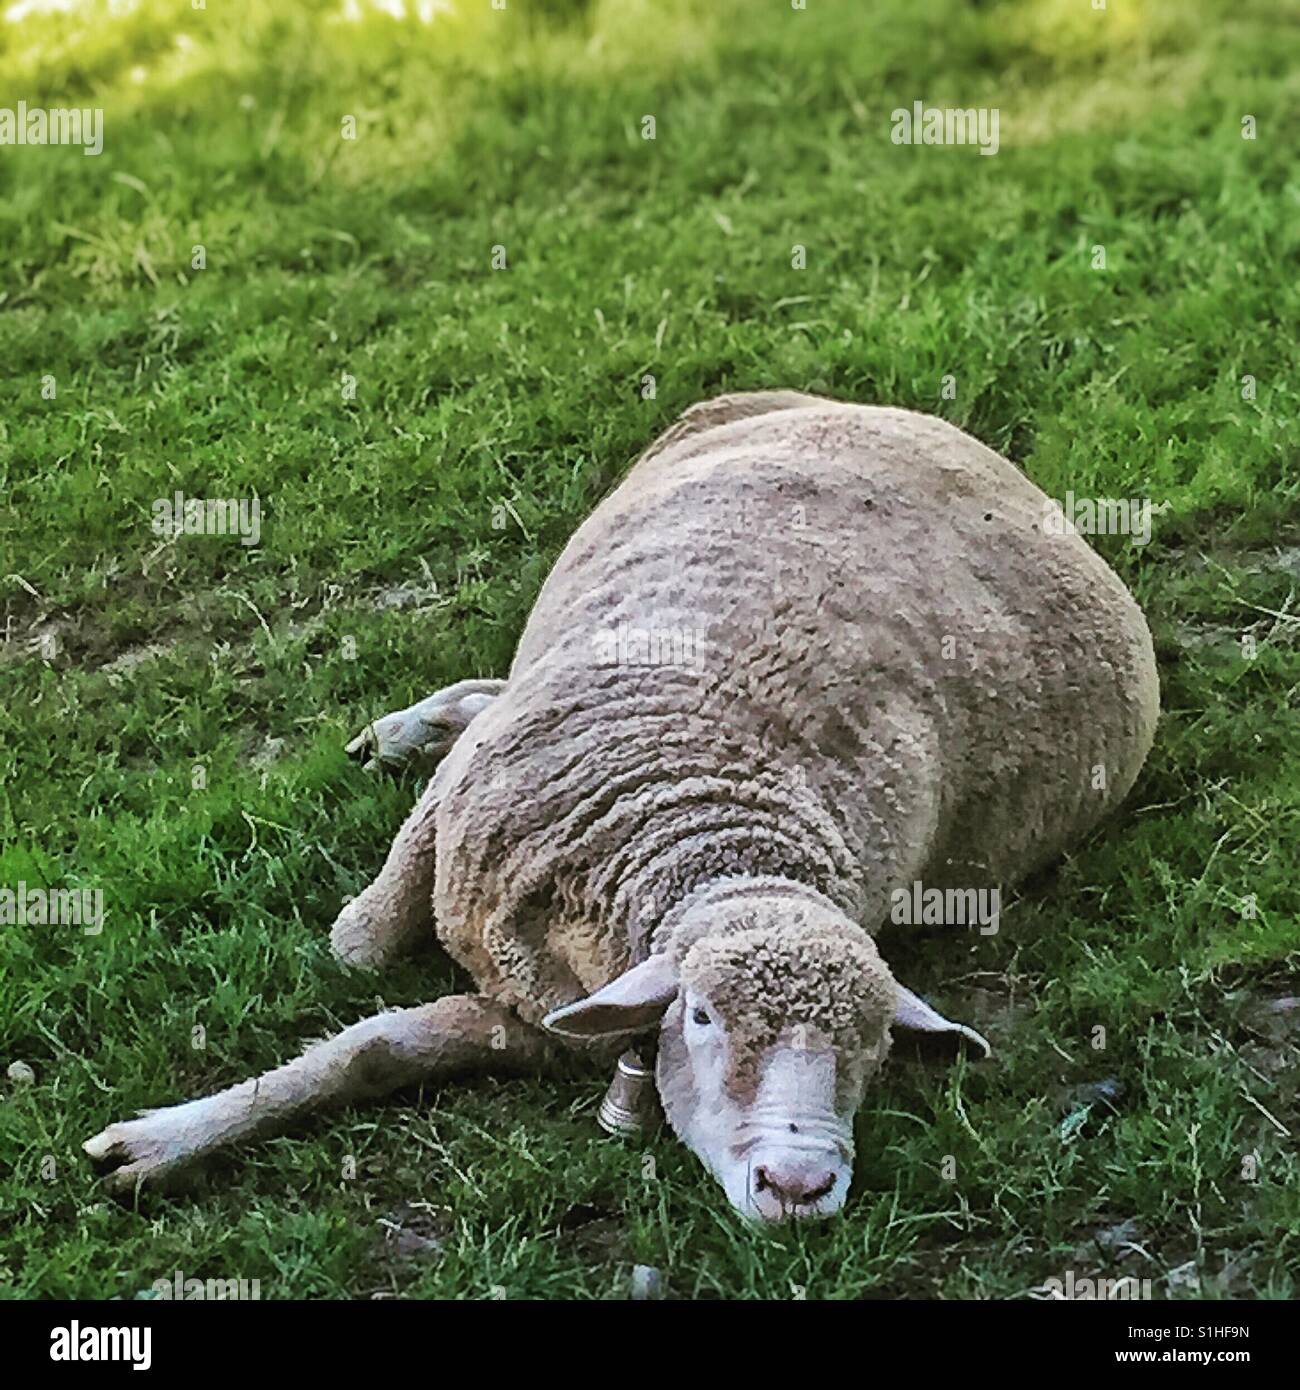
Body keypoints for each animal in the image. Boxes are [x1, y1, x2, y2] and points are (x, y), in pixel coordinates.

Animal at [85, 391, 1159, 1221]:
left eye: (875, 1045)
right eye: (701, 1016)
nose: (800, 1187)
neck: (706, 832)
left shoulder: (545, 1015)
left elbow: (378, 1050)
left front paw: (169, 1140)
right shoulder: (474, 827)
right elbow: (359, 956)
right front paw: (169, 1136)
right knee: (482, 705)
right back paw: (408, 729)